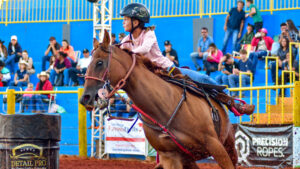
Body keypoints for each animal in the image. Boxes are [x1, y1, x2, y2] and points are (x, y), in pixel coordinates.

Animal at [79, 30, 237, 169]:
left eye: (99, 62)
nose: (85, 97)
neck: (165, 106)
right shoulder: (170, 157)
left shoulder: (214, 145)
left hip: (228, 145)